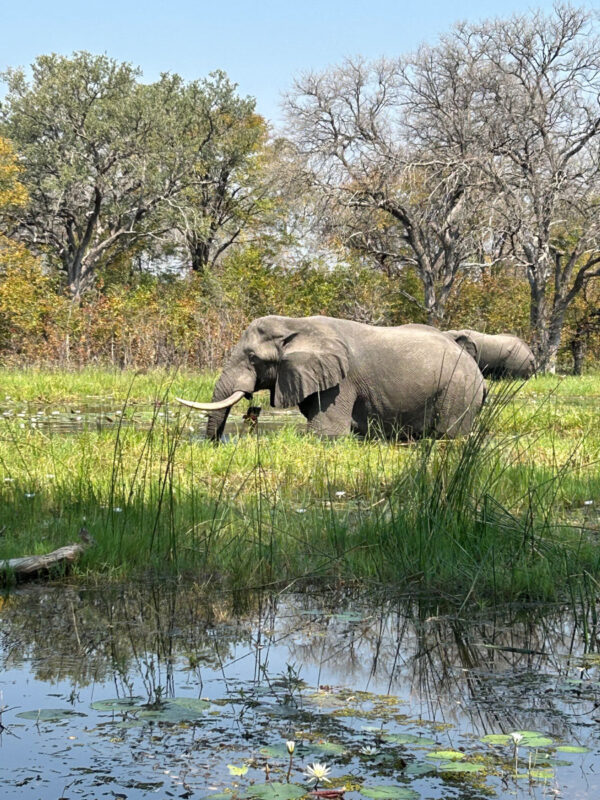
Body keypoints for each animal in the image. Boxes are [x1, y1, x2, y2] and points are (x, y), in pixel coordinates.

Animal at [176, 315, 487, 442]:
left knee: (449, 432)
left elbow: (327, 432)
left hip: (459, 392)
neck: (294, 325)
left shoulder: (340, 383)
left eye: (253, 358)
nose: (217, 443)